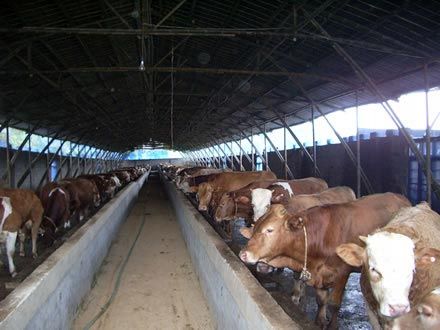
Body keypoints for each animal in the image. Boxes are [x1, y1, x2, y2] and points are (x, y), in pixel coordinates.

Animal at [239, 192, 410, 328]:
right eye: (255, 228)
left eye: (270, 230)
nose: (243, 254)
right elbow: (321, 300)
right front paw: (320, 320)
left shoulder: (342, 273)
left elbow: (334, 303)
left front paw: (332, 325)